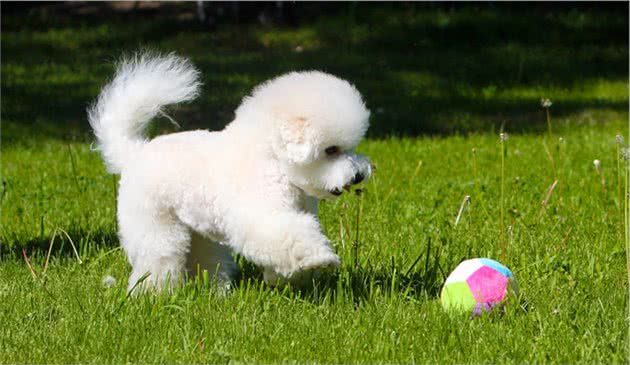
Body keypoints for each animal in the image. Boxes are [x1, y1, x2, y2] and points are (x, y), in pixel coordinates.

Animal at [91, 53, 372, 290]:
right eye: (331, 150)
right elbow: (289, 236)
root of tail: (134, 152)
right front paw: (320, 259)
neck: (272, 163)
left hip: (197, 229)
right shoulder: (263, 216)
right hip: (155, 224)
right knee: (159, 257)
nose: (358, 175)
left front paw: (286, 277)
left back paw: (214, 290)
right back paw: (152, 293)